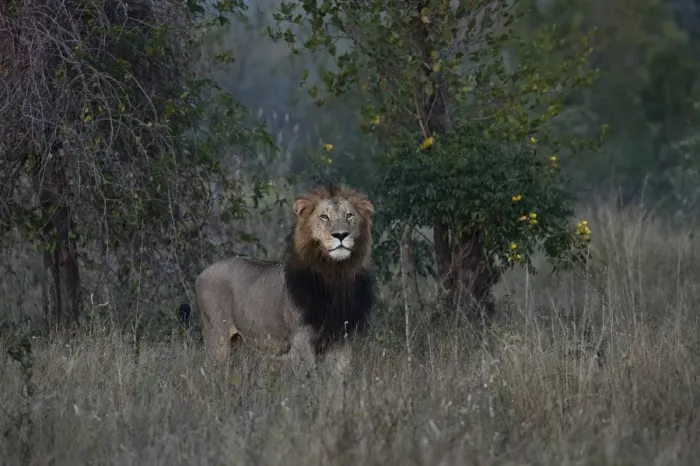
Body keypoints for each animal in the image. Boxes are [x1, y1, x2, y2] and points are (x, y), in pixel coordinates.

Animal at [193, 184, 375, 375]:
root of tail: (201, 273)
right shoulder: (301, 339)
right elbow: (308, 377)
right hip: (217, 338)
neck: (336, 275)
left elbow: (337, 378)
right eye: (324, 217)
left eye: (349, 215)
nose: (341, 235)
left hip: (240, 344)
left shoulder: (342, 339)